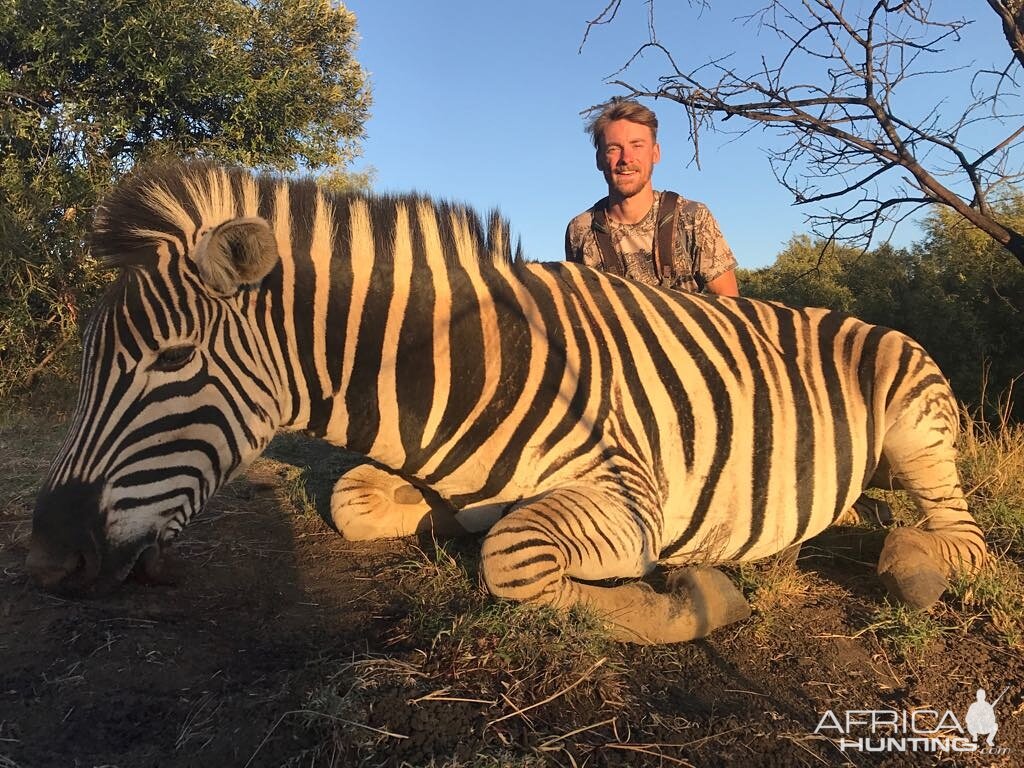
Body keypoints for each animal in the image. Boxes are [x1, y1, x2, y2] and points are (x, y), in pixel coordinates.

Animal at [25, 162, 983, 643]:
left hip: (917, 428)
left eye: (172, 361)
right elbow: (356, 501)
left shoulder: (631, 497)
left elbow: (515, 559)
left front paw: (699, 597)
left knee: (960, 537)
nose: (46, 561)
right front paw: (438, 521)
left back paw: (912, 560)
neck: (468, 376)